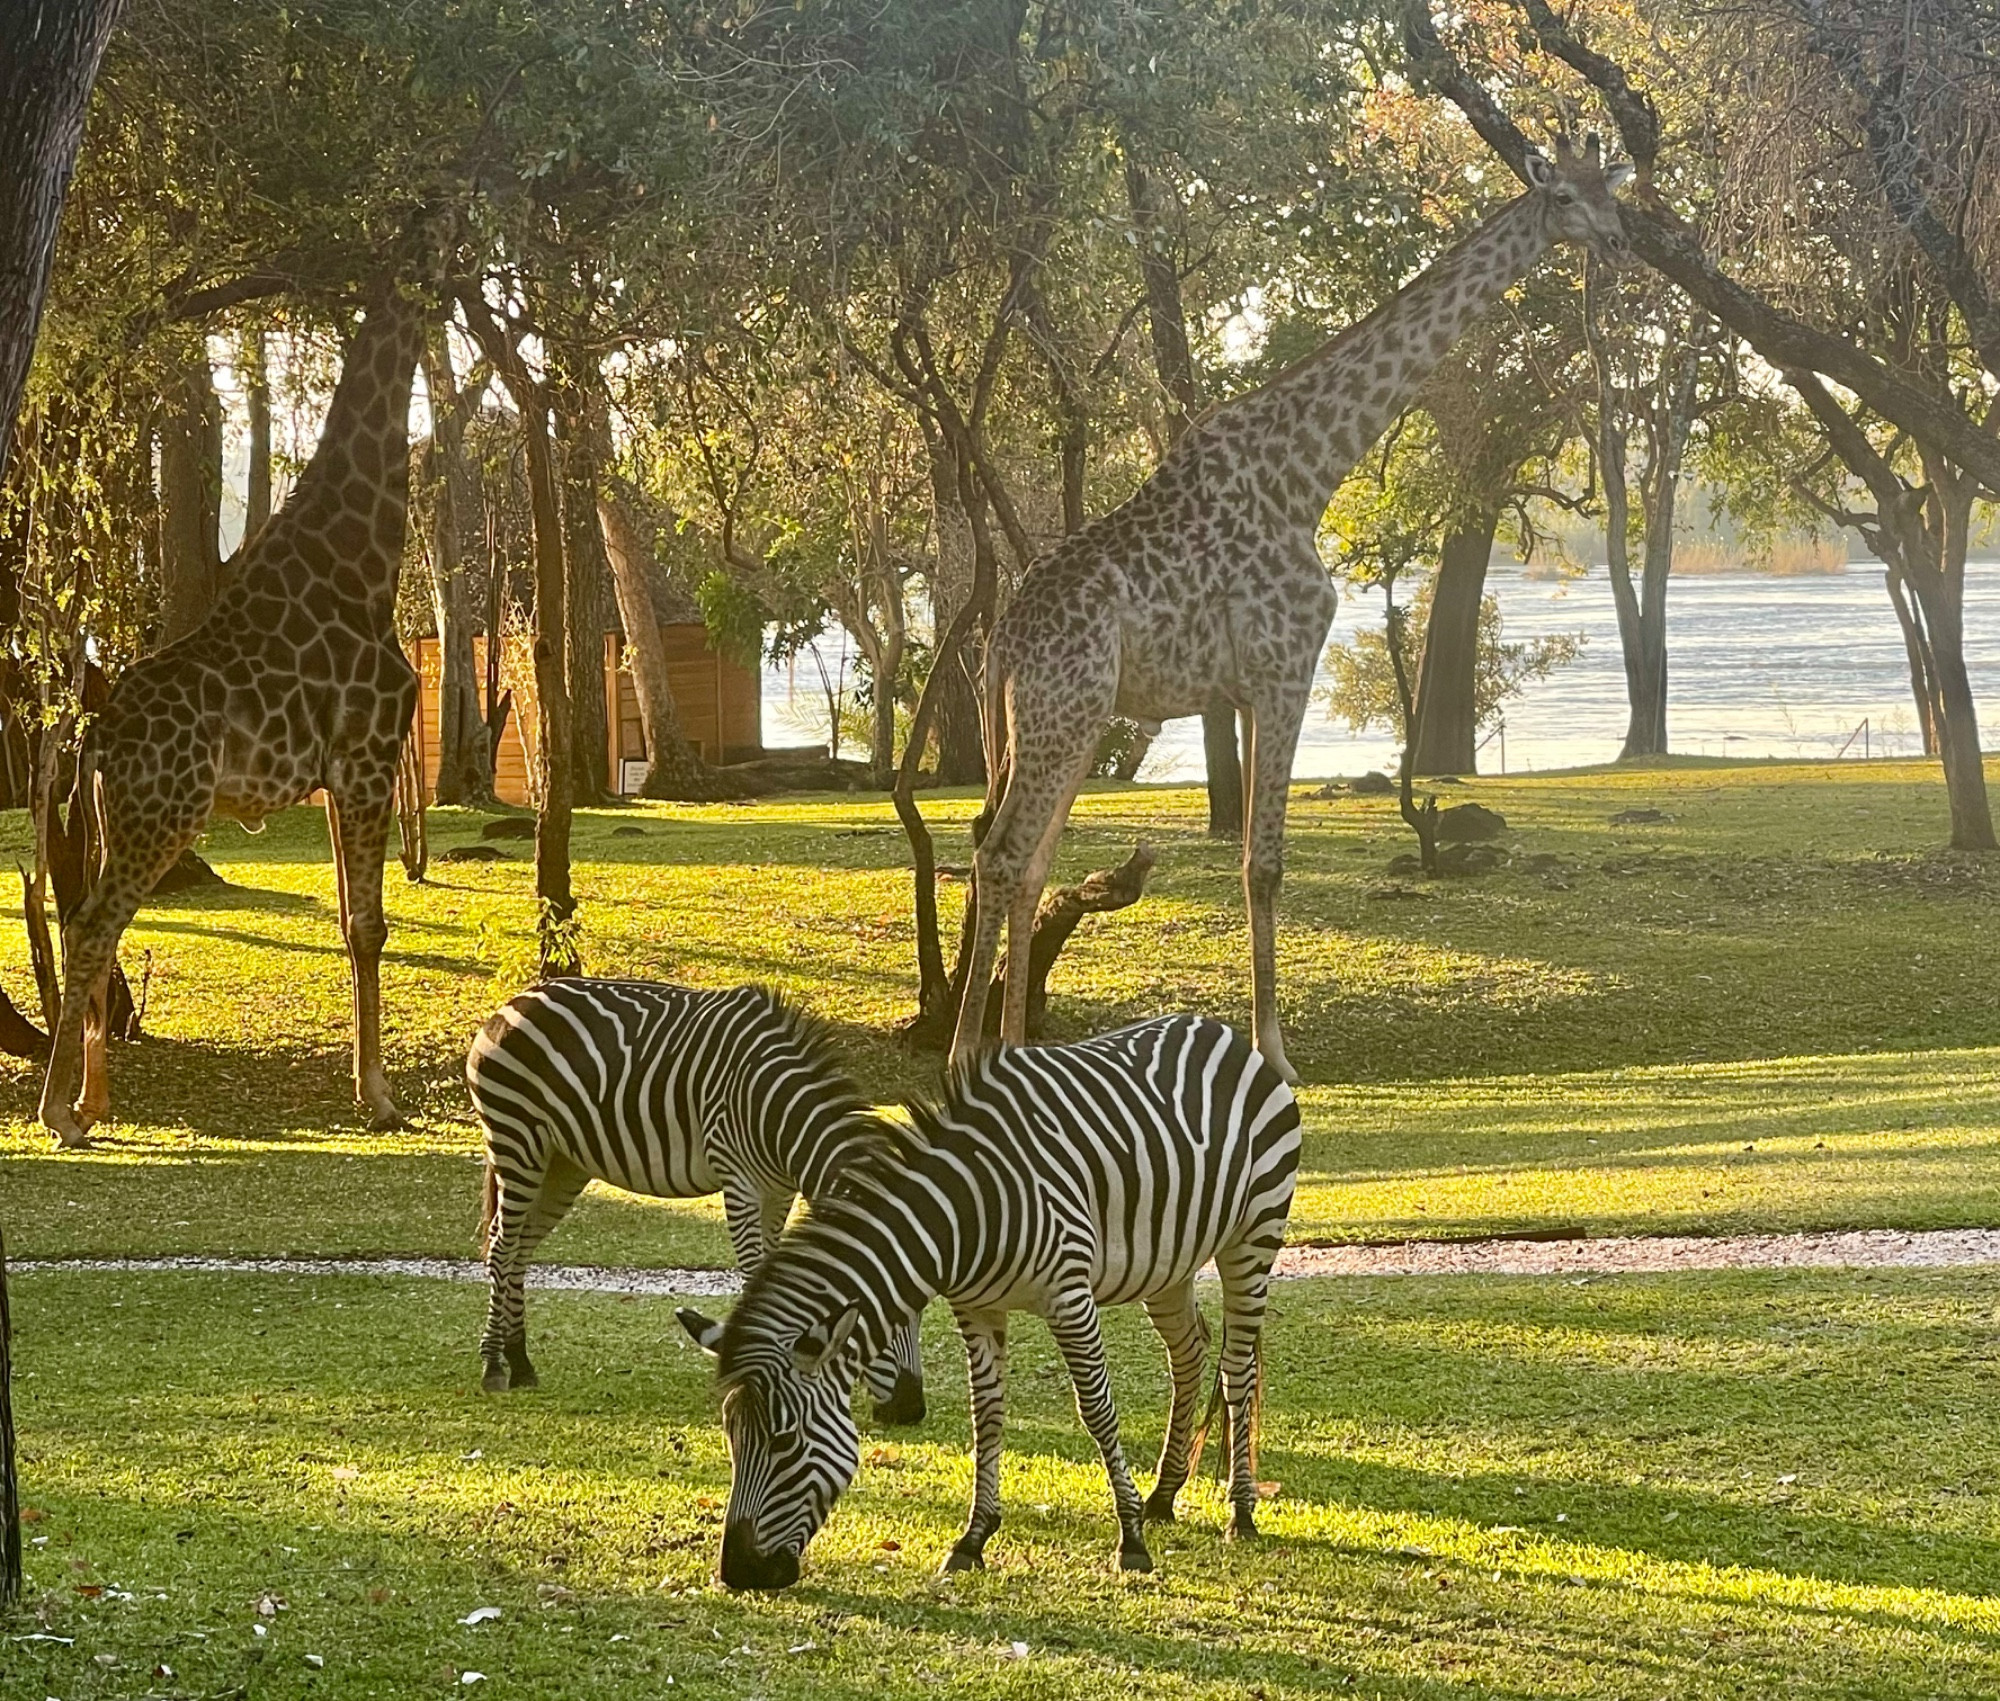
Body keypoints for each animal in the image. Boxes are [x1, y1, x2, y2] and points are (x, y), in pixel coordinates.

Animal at [41, 278, 430, 1144]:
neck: (368, 558)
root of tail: (98, 737)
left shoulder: (338, 773)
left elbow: (350, 922)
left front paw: (365, 1088)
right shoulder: (369, 754)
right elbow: (370, 924)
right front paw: (383, 1096)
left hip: (119, 817)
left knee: (88, 922)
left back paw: (92, 1100)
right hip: (165, 814)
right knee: (91, 925)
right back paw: (60, 1112)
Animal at [470, 968, 928, 1416]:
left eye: (921, 1311)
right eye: (878, 1319)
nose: (911, 1409)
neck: (780, 1115)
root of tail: (512, 1003)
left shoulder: (778, 1192)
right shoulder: (739, 1181)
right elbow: (753, 1271)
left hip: (562, 1164)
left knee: (521, 1249)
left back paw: (521, 1362)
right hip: (517, 1140)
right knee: (502, 1246)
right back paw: (493, 1366)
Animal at [676, 1012, 1296, 1584]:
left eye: (785, 1442)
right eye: (731, 1438)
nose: (738, 1573)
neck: (963, 1214)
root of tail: (1218, 1029)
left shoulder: (1069, 1296)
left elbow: (1096, 1410)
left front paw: (1131, 1539)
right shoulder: (975, 1307)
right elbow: (987, 1415)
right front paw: (973, 1539)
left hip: (1253, 1236)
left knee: (1238, 1368)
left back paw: (1240, 1512)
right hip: (1167, 1264)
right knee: (1189, 1353)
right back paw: (1165, 1497)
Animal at [944, 139, 1632, 1080]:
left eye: (1611, 187)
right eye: (1563, 194)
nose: (1618, 234)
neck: (1311, 471)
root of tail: (1000, 643)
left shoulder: (1239, 691)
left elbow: (1247, 858)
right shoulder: (1284, 669)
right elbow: (1263, 864)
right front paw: (1275, 1051)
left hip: (1067, 721)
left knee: (1032, 860)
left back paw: (1015, 1055)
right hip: (1060, 712)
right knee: (1001, 853)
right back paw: (962, 1060)